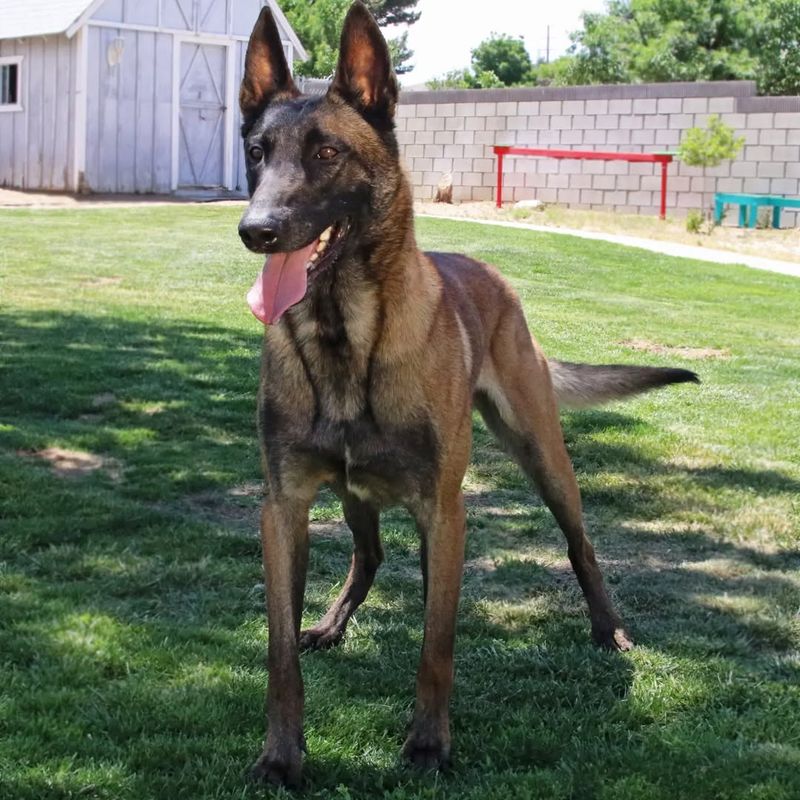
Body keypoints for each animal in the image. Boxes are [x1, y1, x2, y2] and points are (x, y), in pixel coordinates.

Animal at [239, 1, 700, 788]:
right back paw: (331, 623)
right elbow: (278, 656)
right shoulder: (285, 507)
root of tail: (488, 270)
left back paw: (608, 628)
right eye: (256, 152)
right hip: (356, 493)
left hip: (542, 455)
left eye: (326, 154)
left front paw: (427, 744)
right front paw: (281, 753)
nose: (256, 230)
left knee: (580, 544)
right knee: (369, 555)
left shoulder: (444, 512)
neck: (345, 337)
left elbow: (436, 644)